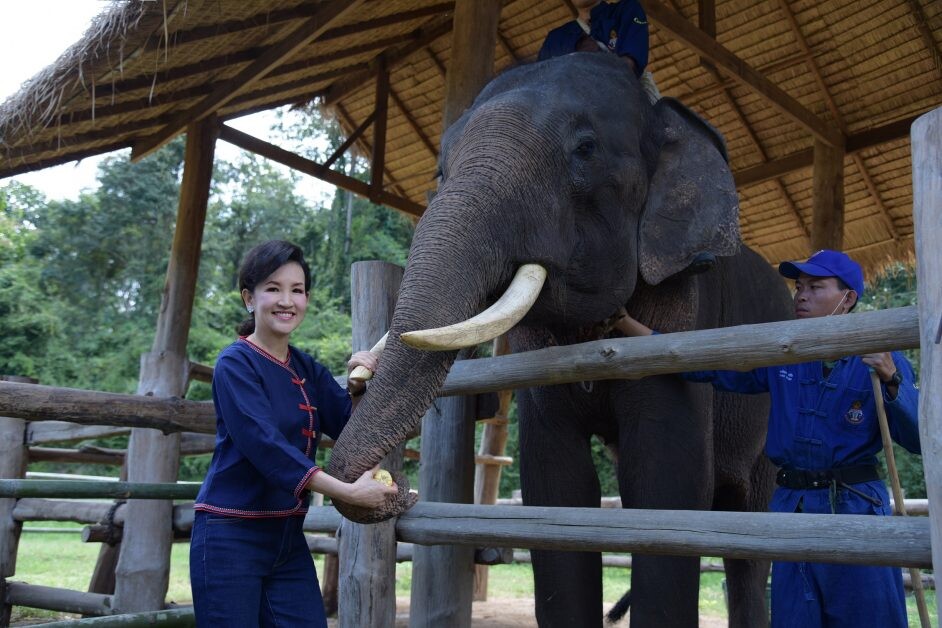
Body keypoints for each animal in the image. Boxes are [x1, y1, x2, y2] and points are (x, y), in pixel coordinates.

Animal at [330, 51, 796, 624]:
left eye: (585, 149)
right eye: (439, 170)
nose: (397, 490)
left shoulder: (685, 308)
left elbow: (665, 479)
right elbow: (558, 483)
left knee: (747, 535)